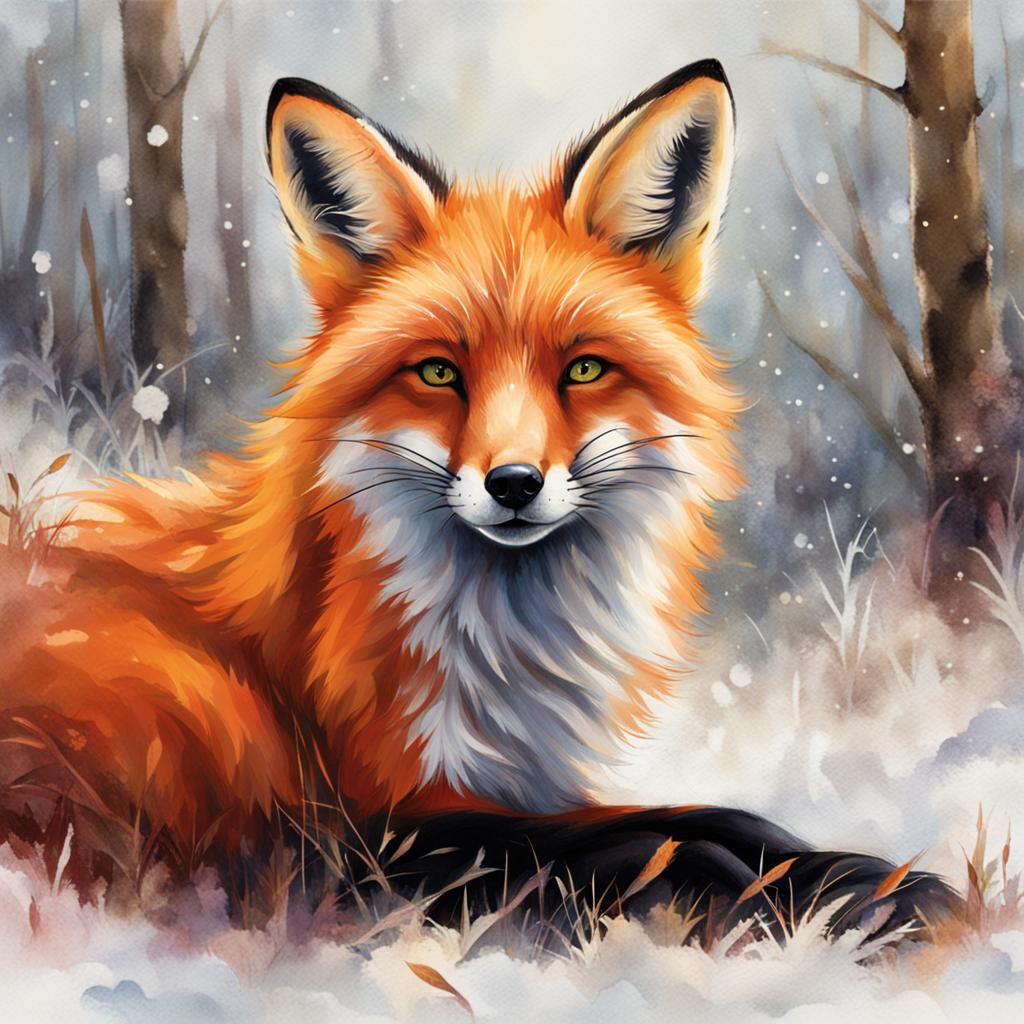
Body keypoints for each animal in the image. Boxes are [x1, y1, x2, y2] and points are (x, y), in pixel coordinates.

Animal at [2, 61, 956, 935]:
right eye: (437, 373)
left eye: (583, 369)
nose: (514, 484)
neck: (492, 655)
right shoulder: (384, 811)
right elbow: (642, 846)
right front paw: (800, 898)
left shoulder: (497, 789)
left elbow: (719, 817)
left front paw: (863, 876)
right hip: (225, 754)